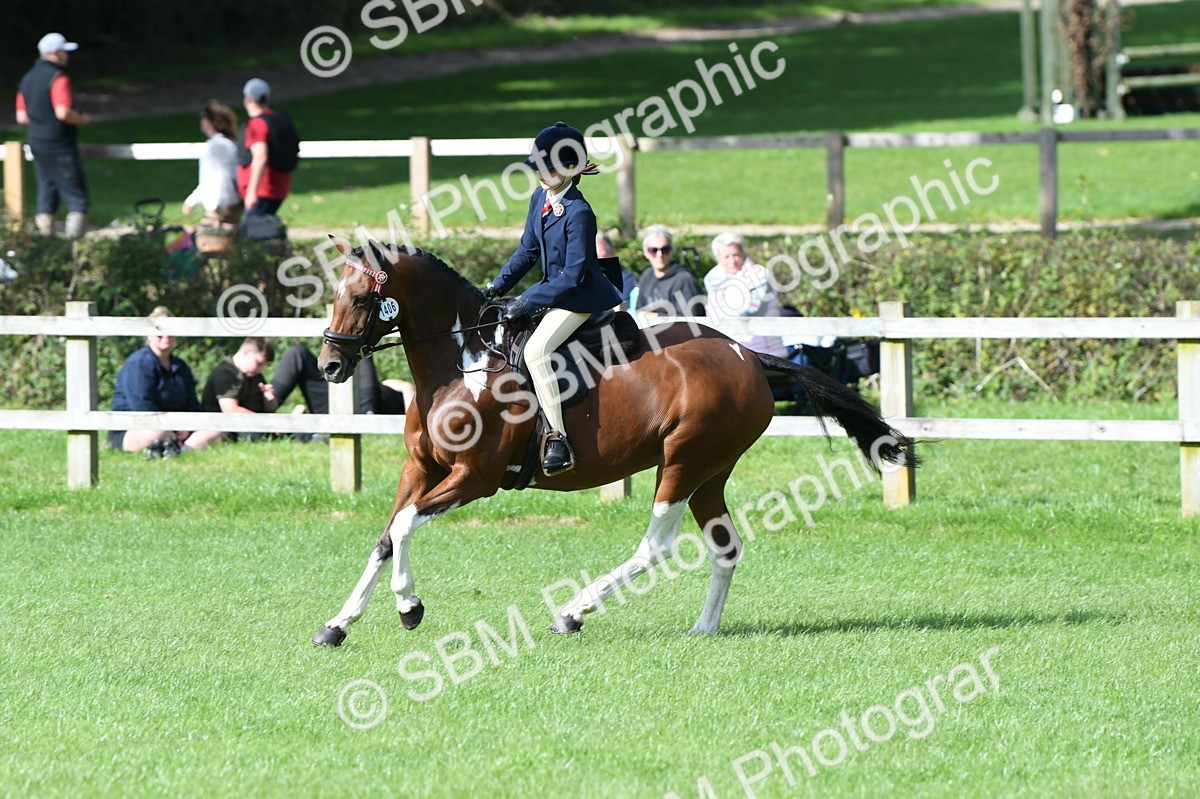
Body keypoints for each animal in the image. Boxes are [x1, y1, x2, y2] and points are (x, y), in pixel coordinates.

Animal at [311, 238, 917, 646]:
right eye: (333, 295)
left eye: (362, 298)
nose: (330, 365)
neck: (464, 360)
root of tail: (747, 355)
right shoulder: (421, 469)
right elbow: (388, 535)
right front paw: (338, 624)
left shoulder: (473, 479)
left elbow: (405, 527)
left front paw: (408, 606)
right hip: (710, 471)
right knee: (726, 546)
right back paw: (703, 627)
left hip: (682, 461)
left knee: (657, 547)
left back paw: (573, 612)